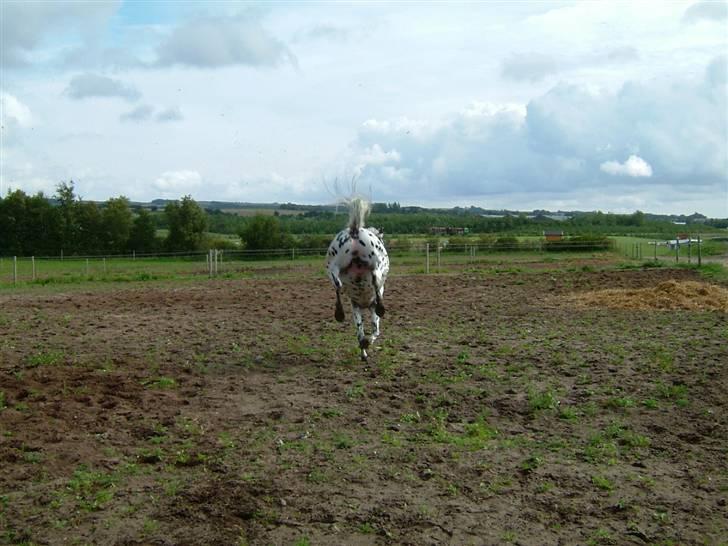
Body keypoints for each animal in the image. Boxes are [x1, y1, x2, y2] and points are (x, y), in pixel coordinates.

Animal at [328, 198, 390, 360]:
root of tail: (354, 231)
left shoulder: (355, 307)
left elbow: (360, 332)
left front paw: (363, 350)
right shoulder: (369, 307)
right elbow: (375, 330)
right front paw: (367, 344)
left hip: (333, 266)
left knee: (337, 284)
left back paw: (339, 313)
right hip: (377, 264)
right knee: (375, 279)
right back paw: (381, 308)